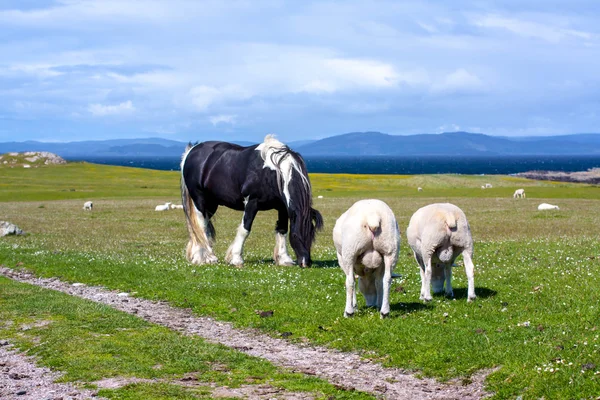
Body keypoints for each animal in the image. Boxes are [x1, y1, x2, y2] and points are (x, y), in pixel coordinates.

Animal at [179, 135, 324, 268]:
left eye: (312, 236)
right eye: (297, 235)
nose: (306, 263)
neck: (273, 172)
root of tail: (192, 150)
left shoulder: (282, 207)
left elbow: (282, 230)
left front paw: (284, 259)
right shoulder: (252, 203)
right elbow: (245, 229)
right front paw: (236, 259)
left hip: (211, 204)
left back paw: (199, 256)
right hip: (200, 200)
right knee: (201, 225)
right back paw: (208, 258)